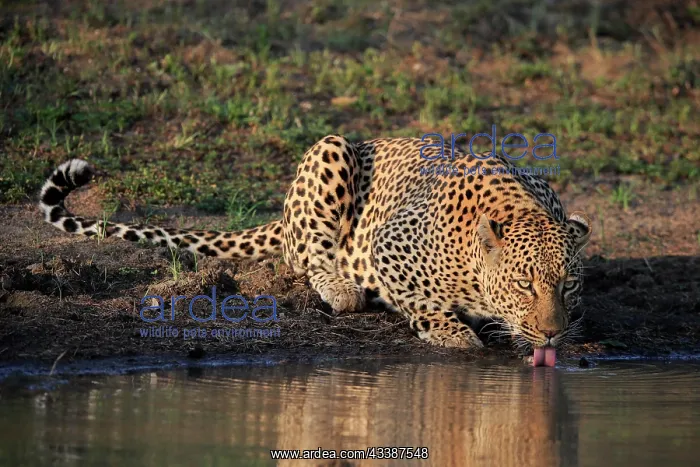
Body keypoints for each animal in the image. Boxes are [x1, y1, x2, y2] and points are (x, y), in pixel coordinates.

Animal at [39, 134, 591, 355]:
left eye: (568, 286)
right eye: (524, 284)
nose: (552, 335)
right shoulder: (389, 246)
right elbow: (421, 301)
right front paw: (452, 333)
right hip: (332, 150)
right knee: (308, 255)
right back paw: (342, 289)